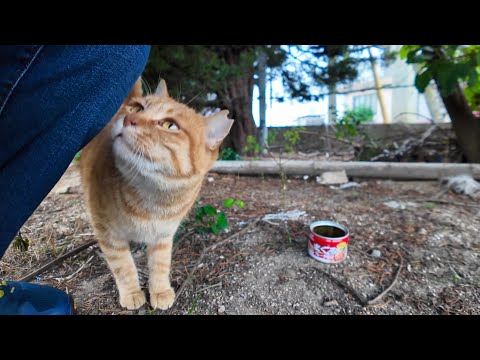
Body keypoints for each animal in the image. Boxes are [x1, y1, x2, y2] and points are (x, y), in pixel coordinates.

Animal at [79, 79, 233, 310]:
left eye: (170, 125)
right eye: (138, 108)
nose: (128, 119)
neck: (152, 198)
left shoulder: (164, 234)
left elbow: (160, 264)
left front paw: (159, 291)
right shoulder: (108, 234)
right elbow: (123, 265)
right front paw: (132, 293)